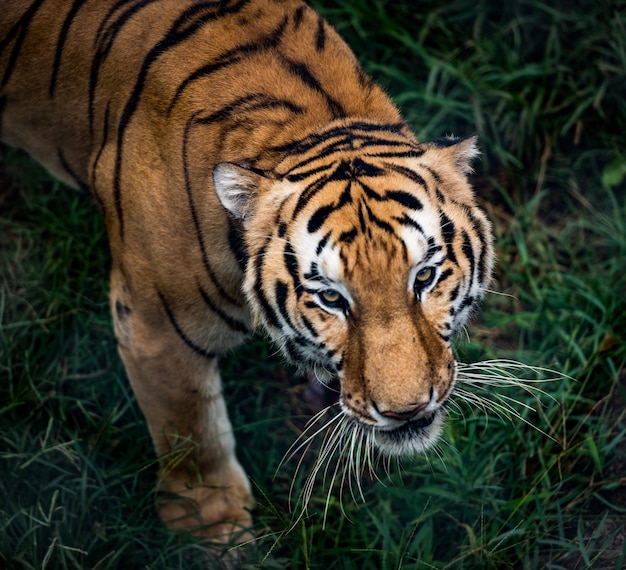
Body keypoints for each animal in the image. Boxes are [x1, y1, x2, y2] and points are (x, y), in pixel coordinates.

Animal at [1, 0, 492, 540]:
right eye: (331, 298)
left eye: (424, 277)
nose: (407, 410)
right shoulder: (153, 327)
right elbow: (190, 429)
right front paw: (211, 529)